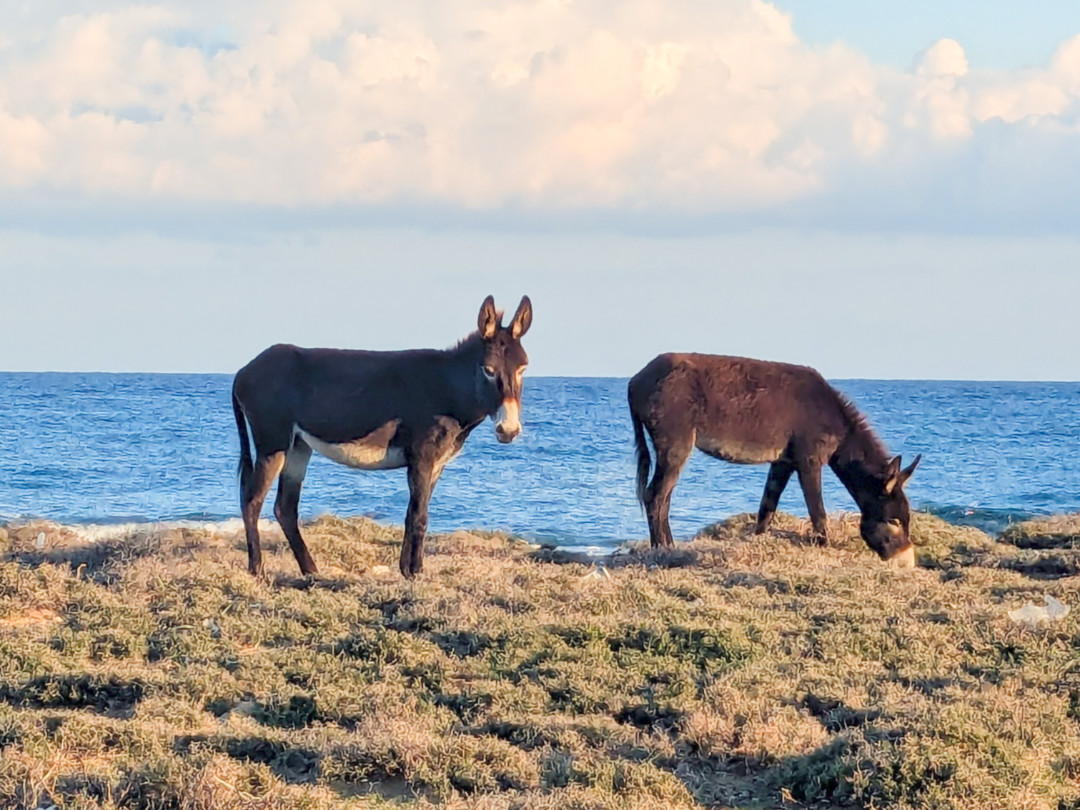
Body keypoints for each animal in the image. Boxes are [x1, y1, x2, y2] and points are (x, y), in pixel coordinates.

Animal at [231, 295, 532, 579]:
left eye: (523, 369)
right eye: (488, 370)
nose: (508, 430)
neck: (449, 388)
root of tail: (242, 371)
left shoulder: (436, 463)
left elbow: (413, 512)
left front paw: (407, 569)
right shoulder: (421, 456)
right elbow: (420, 515)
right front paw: (416, 572)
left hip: (298, 446)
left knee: (284, 507)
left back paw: (310, 571)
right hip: (272, 442)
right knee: (252, 501)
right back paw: (258, 570)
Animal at [628, 353, 920, 566]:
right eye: (894, 521)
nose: (906, 561)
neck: (839, 425)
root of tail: (635, 381)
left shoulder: (783, 462)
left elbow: (767, 506)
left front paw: (758, 541)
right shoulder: (808, 459)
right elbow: (817, 510)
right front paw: (823, 545)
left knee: (662, 496)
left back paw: (667, 546)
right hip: (676, 443)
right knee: (655, 495)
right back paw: (663, 549)